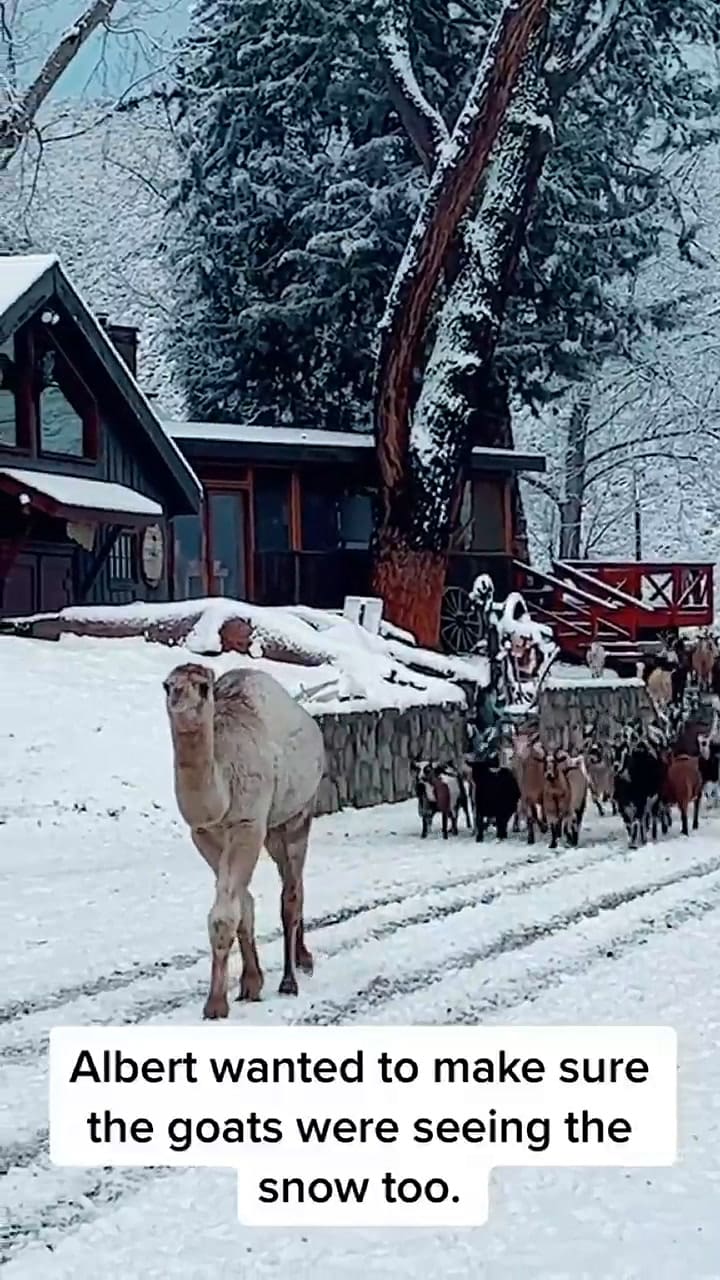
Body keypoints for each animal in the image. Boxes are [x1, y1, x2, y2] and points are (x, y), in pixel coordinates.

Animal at [163, 663, 325, 1020]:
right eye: (166, 685)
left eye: (203, 686)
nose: (177, 696)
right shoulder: (204, 833)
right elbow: (243, 905)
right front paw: (250, 983)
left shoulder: (247, 824)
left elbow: (225, 915)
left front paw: (215, 1004)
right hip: (274, 828)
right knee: (294, 885)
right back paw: (303, 958)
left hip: (299, 813)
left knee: (291, 893)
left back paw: (291, 979)